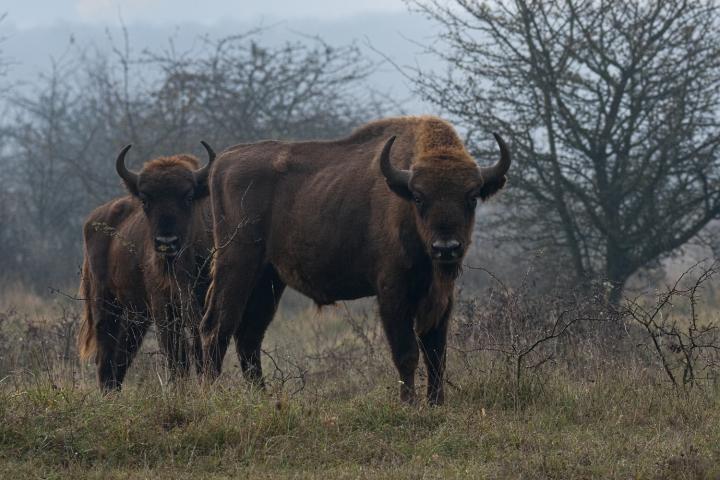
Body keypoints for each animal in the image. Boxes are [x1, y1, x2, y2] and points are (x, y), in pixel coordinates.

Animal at [78, 142, 216, 391]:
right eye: (145, 200)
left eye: (189, 197)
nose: (166, 242)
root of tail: (93, 219)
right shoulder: (164, 309)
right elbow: (177, 356)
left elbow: (199, 349)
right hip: (105, 302)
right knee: (106, 352)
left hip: (137, 315)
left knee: (123, 354)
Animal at [201, 116, 510, 404]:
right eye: (419, 198)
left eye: (472, 197)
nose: (446, 248)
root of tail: (222, 162)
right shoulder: (392, 292)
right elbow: (407, 352)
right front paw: (408, 404)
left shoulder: (441, 298)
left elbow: (436, 354)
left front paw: (436, 403)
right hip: (237, 264)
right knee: (217, 327)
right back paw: (210, 394)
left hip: (268, 279)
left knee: (249, 336)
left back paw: (261, 397)